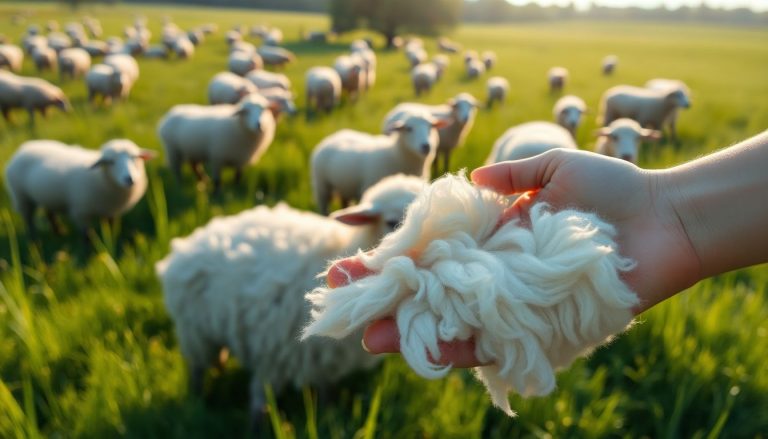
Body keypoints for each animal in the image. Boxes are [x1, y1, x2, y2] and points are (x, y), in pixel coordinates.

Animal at [4, 139, 153, 237]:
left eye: (136, 157)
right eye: (110, 162)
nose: (129, 179)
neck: (98, 177)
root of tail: (24, 147)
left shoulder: (110, 211)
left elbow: (111, 228)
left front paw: (111, 241)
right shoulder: (81, 212)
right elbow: (87, 236)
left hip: (47, 196)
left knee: (49, 213)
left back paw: (59, 232)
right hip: (22, 197)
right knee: (28, 219)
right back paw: (34, 240)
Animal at [155, 174, 426, 419]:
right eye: (392, 222)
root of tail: (187, 242)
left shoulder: (326, 355)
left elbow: (326, 387)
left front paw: (328, 415)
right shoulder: (274, 351)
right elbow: (259, 403)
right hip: (194, 331)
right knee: (197, 369)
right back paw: (196, 401)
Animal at [312, 110, 447, 215]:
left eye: (431, 127)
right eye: (409, 129)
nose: (426, 146)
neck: (396, 155)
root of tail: (333, 136)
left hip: (344, 185)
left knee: (345, 202)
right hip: (322, 186)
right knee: (324, 207)